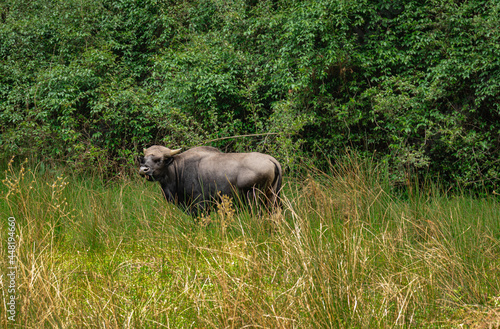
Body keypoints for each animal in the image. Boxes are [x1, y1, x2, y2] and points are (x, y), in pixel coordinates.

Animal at [139, 145, 284, 211]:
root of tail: (271, 160)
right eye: (144, 159)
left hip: (254, 199)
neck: (179, 169)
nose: (143, 170)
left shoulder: (199, 205)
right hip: (272, 197)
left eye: (159, 160)